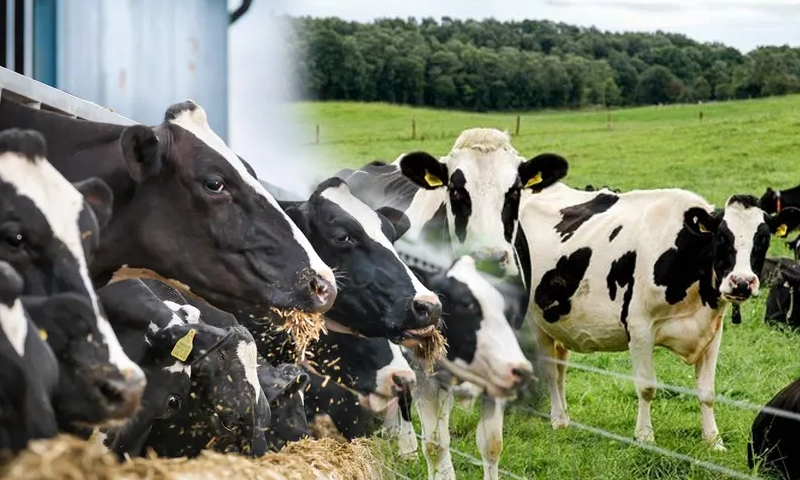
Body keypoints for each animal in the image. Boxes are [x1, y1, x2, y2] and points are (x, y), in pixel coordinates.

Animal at [406, 255, 534, 480]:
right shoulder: (423, 378)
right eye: (466, 304)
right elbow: (435, 446)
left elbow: (492, 444)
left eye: (509, 310)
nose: (522, 371)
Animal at [514, 153, 800, 450]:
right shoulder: (639, 327)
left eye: (763, 238)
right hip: (536, 320)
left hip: (559, 321)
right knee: (549, 369)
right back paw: (558, 419)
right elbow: (647, 386)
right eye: (721, 237)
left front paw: (713, 440)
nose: (742, 282)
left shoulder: (712, 331)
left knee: (560, 368)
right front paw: (644, 436)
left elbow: (708, 391)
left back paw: (565, 416)